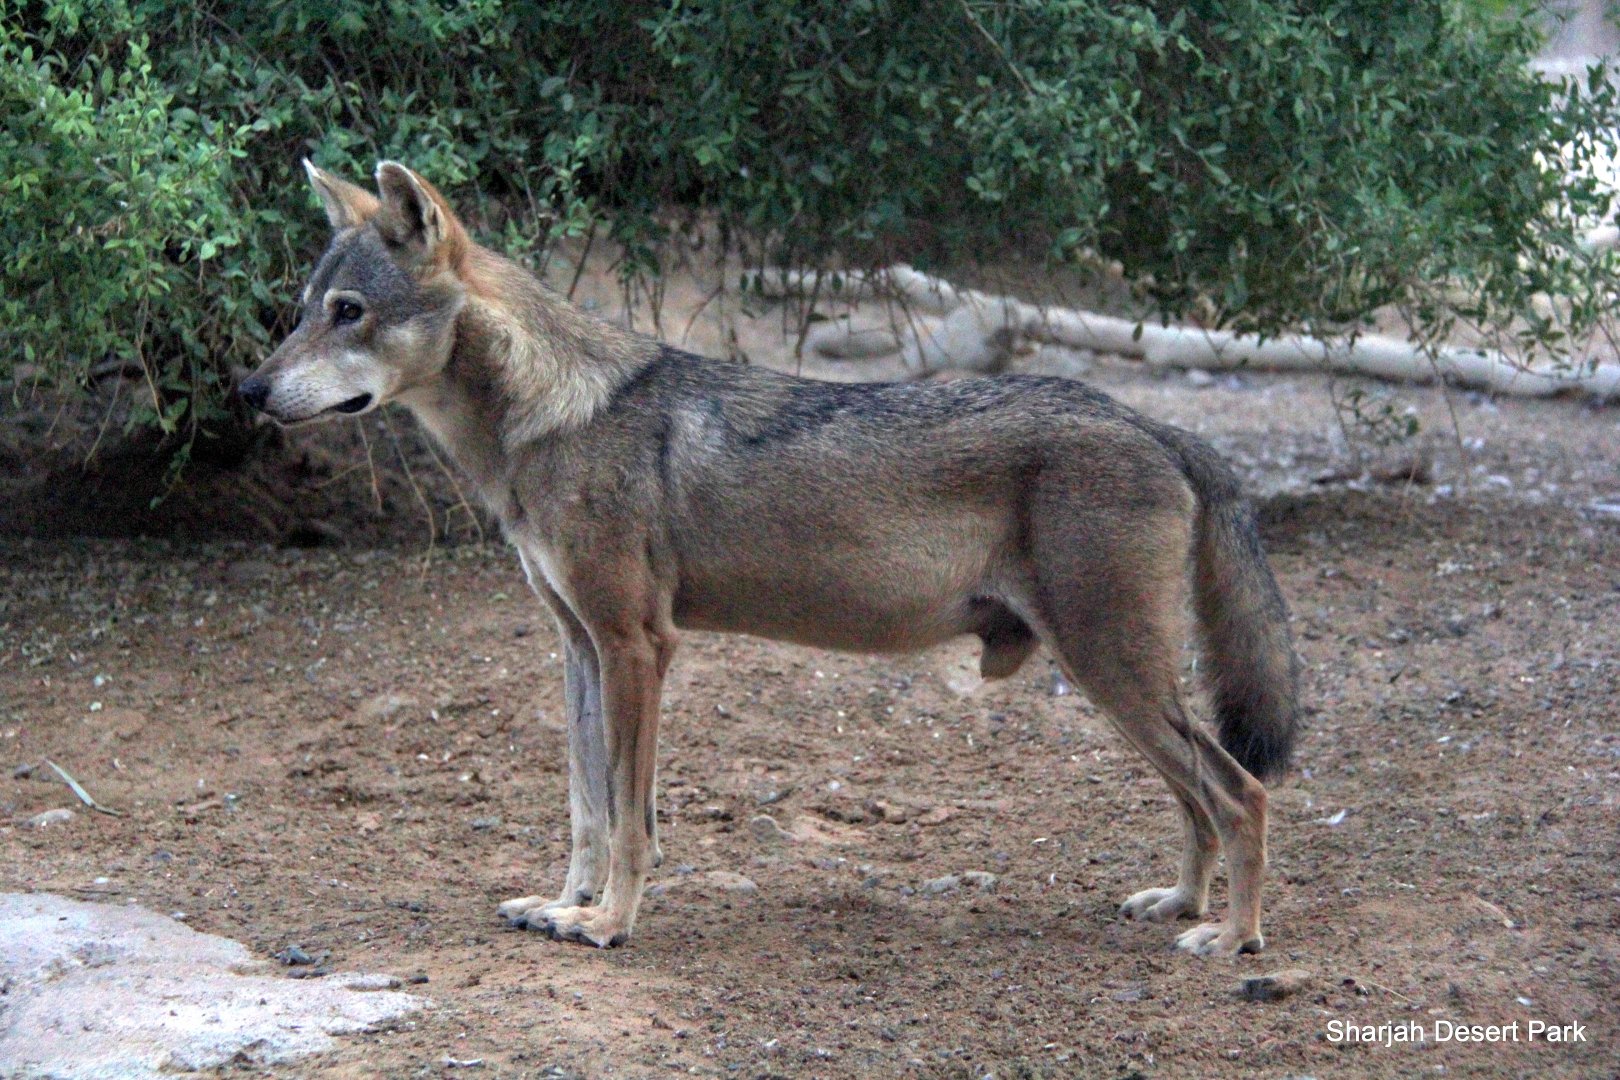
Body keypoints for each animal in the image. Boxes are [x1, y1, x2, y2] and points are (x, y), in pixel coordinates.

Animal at [240, 161, 1300, 956]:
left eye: (349, 311)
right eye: (303, 307)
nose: (250, 390)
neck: (544, 421)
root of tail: (1152, 422)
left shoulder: (638, 648)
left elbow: (630, 817)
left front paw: (610, 925)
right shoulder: (577, 647)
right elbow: (584, 808)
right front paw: (563, 904)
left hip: (1113, 669)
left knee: (1240, 793)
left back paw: (1232, 938)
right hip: (1112, 683)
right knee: (1199, 800)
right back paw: (1181, 905)